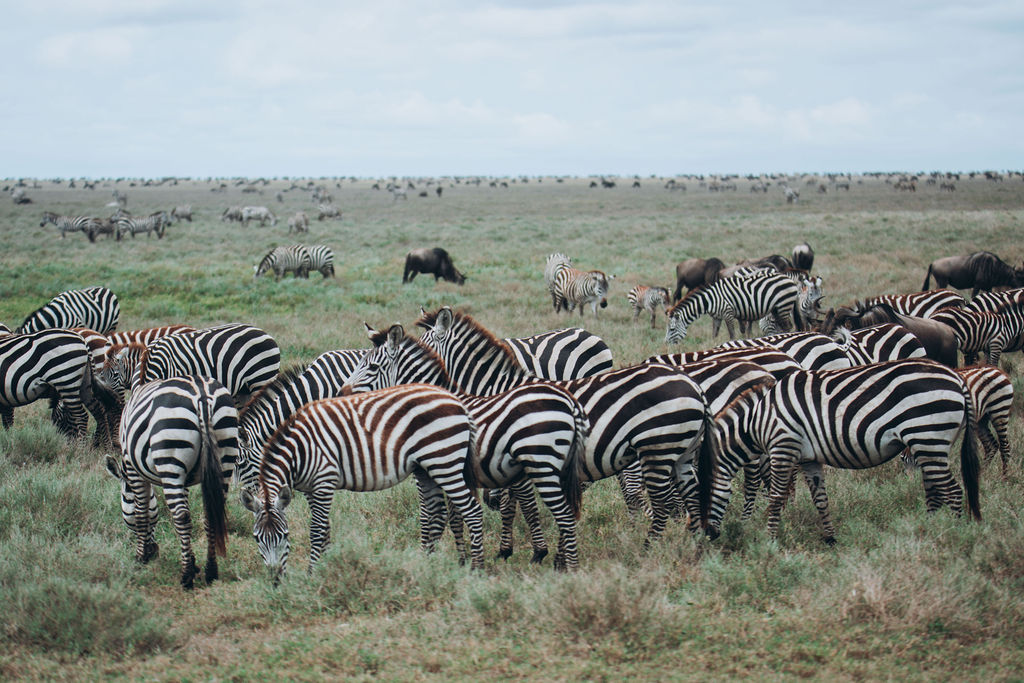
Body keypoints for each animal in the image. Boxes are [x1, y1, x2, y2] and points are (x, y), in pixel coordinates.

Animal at [103, 376, 238, 590]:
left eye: (124, 499)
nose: (154, 551)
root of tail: (201, 396)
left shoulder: (132, 468)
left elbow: (141, 514)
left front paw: (140, 557)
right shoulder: (186, 479)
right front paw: (191, 559)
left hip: (171, 457)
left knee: (181, 516)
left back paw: (186, 577)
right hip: (225, 455)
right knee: (209, 514)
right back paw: (210, 571)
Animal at [239, 383, 486, 580]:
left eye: (284, 535)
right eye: (257, 538)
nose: (275, 580)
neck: (300, 450)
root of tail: (456, 401)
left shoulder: (324, 481)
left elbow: (317, 529)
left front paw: (313, 573)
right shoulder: (310, 489)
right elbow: (325, 528)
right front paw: (328, 566)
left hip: (444, 462)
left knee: (472, 510)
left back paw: (477, 569)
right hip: (425, 468)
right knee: (437, 513)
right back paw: (426, 564)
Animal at [344, 323, 590, 570]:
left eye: (372, 367)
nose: (340, 394)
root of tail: (568, 401)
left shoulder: (430, 470)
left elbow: (429, 515)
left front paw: (430, 557)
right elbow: (451, 516)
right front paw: (460, 559)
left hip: (542, 465)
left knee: (564, 515)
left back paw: (569, 567)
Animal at [665, 271, 799, 343]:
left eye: (672, 329)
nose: (666, 344)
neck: (709, 300)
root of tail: (789, 279)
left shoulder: (728, 313)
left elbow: (732, 335)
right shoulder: (717, 317)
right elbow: (714, 334)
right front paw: (713, 346)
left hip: (784, 305)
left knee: (788, 326)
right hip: (776, 309)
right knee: (781, 326)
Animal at [705, 360, 981, 544]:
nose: (707, 536)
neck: (758, 420)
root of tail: (956, 378)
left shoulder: (783, 446)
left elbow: (775, 498)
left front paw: (769, 539)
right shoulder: (809, 458)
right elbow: (820, 499)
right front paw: (830, 539)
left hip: (928, 437)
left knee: (953, 492)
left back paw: (954, 535)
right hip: (930, 444)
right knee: (935, 492)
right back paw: (929, 529)